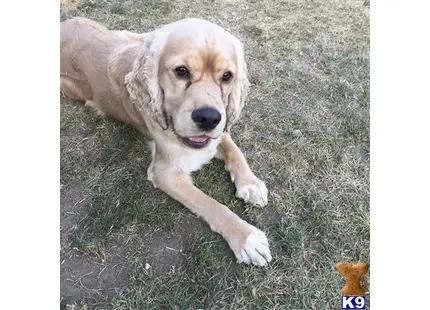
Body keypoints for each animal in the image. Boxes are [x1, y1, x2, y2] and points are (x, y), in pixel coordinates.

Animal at [60, 17, 272, 266]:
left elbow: (235, 150)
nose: (209, 118)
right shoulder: (166, 172)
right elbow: (211, 204)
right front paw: (247, 238)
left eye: (227, 76)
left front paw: (251, 183)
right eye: (181, 71)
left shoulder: (219, 131)